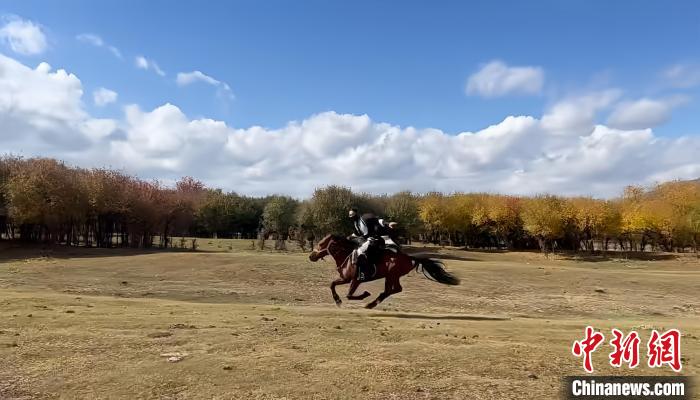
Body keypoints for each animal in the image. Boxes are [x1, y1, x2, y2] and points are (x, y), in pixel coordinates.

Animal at [308, 234, 460, 309]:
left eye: (320, 244)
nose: (311, 256)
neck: (347, 255)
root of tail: (409, 257)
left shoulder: (354, 280)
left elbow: (349, 295)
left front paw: (364, 294)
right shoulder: (345, 279)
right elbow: (332, 285)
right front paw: (337, 300)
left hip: (392, 275)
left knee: (392, 290)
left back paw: (370, 303)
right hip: (391, 276)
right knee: (394, 289)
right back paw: (373, 303)